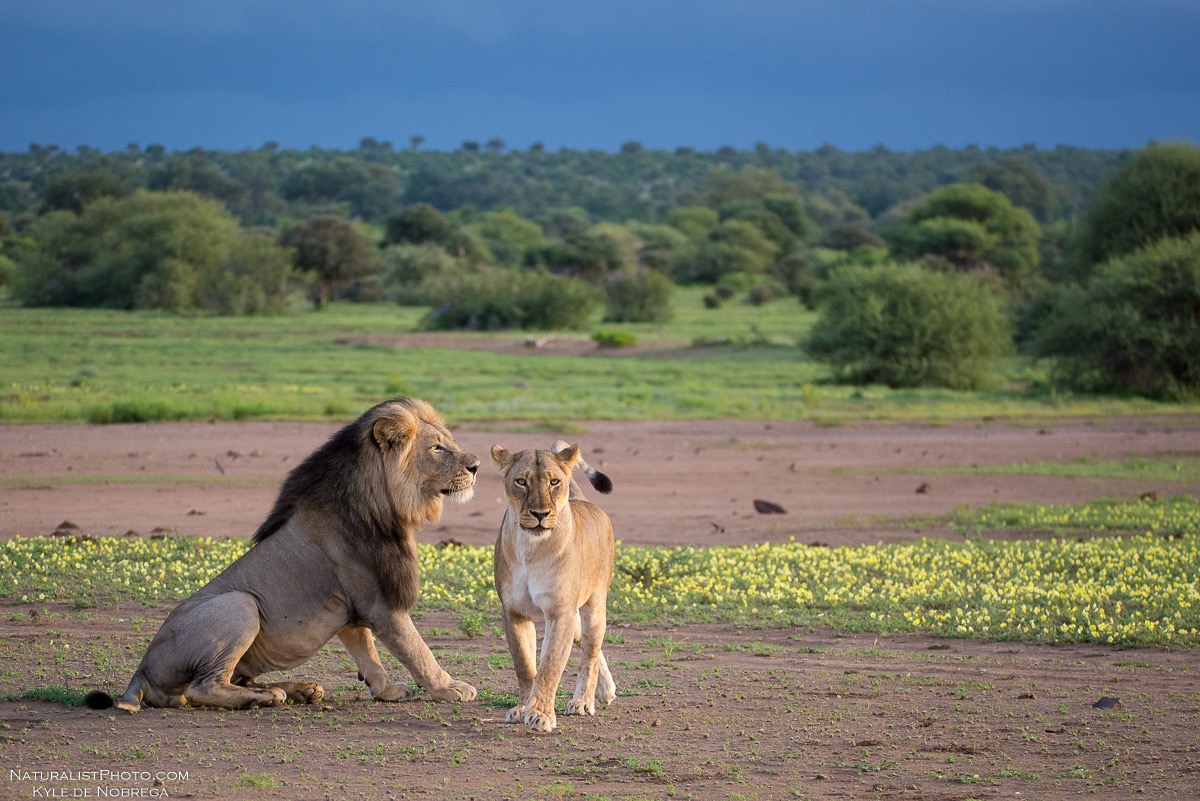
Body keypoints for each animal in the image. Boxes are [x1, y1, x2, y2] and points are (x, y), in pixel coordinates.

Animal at [87, 398, 480, 709]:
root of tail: (141, 669)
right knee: (203, 687)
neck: (387, 505)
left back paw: (300, 689)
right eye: (437, 448)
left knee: (231, 680)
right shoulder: (380, 602)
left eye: (450, 442)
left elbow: (366, 652)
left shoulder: (351, 607)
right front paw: (449, 688)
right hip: (240, 603)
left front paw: (385, 691)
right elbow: (417, 650)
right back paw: (268, 697)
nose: (476, 466)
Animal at [489, 441, 614, 733]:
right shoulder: (514, 612)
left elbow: (550, 666)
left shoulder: (560, 612)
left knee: (590, 653)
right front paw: (522, 708)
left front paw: (540, 714)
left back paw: (584, 701)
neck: (530, 548)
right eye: (521, 481)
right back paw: (606, 690)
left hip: (594, 607)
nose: (540, 514)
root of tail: (583, 501)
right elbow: (525, 665)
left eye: (554, 482)